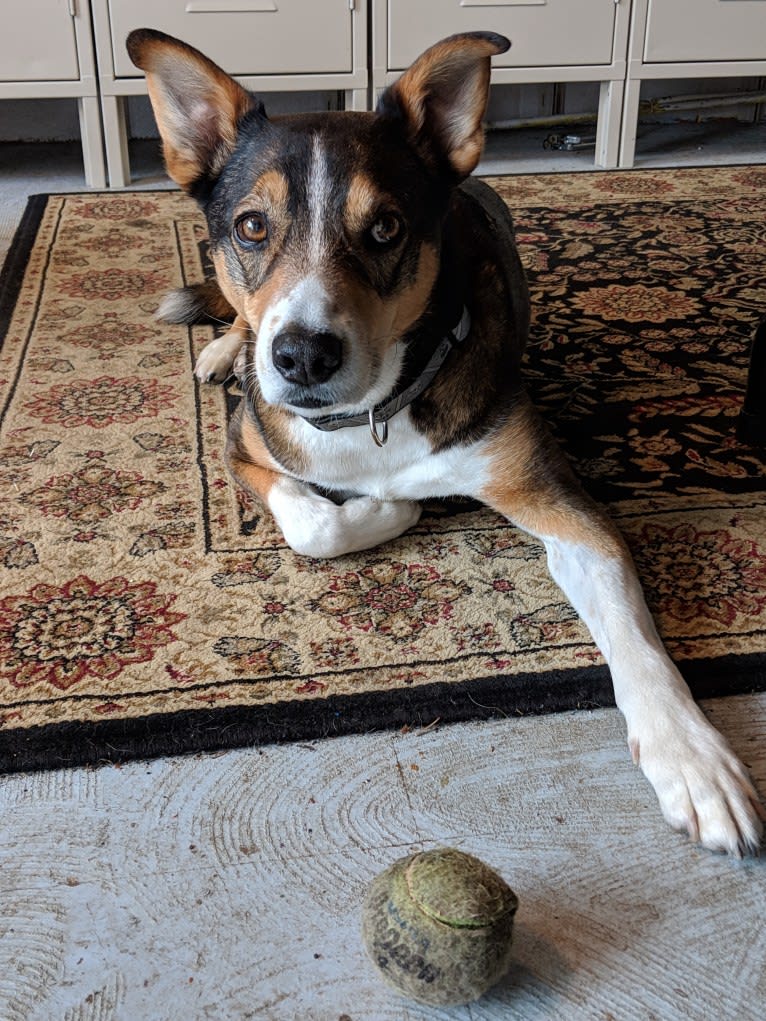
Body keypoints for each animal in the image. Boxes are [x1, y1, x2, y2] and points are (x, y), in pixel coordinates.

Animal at [129, 25, 763, 853]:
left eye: (387, 228)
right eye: (251, 226)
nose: (301, 356)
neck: (375, 408)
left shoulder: (553, 497)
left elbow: (634, 632)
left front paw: (693, 757)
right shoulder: (249, 443)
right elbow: (313, 524)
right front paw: (390, 510)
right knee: (236, 322)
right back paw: (221, 350)